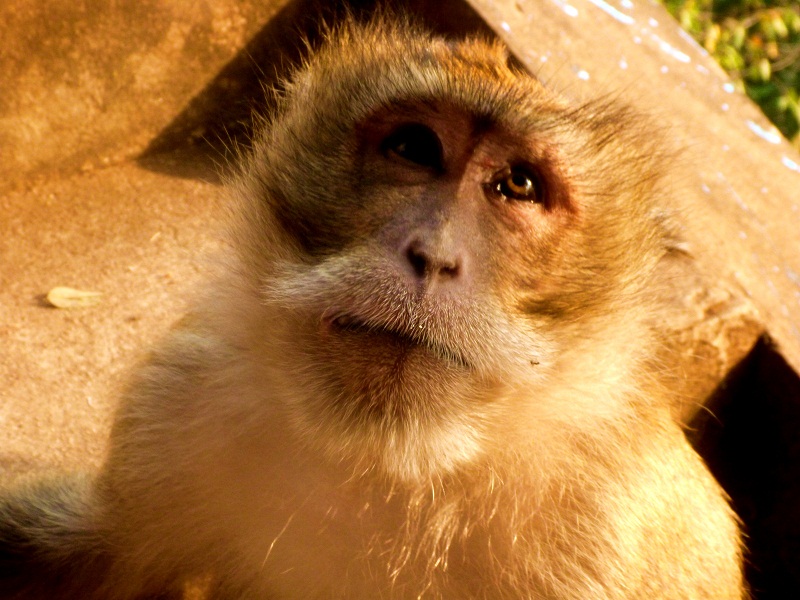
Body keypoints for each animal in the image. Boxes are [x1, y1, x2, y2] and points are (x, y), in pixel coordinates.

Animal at [0, 17, 745, 600]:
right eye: (415, 147)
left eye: (518, 185)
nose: (434, 256)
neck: (386, 464)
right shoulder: (178, 393)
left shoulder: (610, 529)